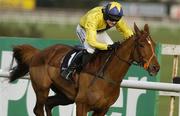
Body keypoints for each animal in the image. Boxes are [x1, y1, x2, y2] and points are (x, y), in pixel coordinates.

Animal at [7, 23, 160, 115]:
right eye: (141, 45)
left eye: (153, 44)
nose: (156, 67)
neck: (106, 77)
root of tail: (38, 53)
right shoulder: (82, 104)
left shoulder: (102, 109)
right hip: (41, 88)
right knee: (38, 109)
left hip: (66, 95)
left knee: (49, 104)